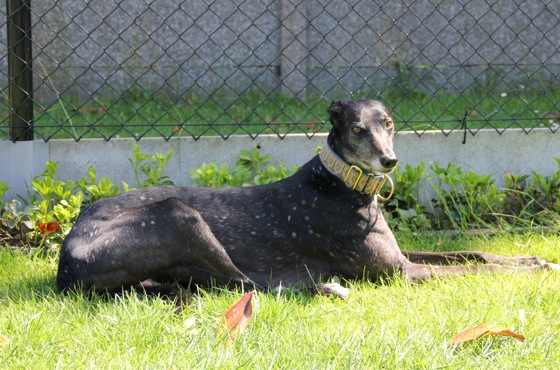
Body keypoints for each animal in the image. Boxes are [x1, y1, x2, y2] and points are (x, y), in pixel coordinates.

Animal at [58, 99, 560, 304]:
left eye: (388, 123)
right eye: (358, 129)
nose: (390, 161)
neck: (341, 182)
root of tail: (66, 262)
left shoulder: (400, 257)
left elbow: (474, 252)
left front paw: (536, 258)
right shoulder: (399, 273)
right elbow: (471, 269)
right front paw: (532, 270)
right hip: (180, 216)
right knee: (249, 286)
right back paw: (324, 288)